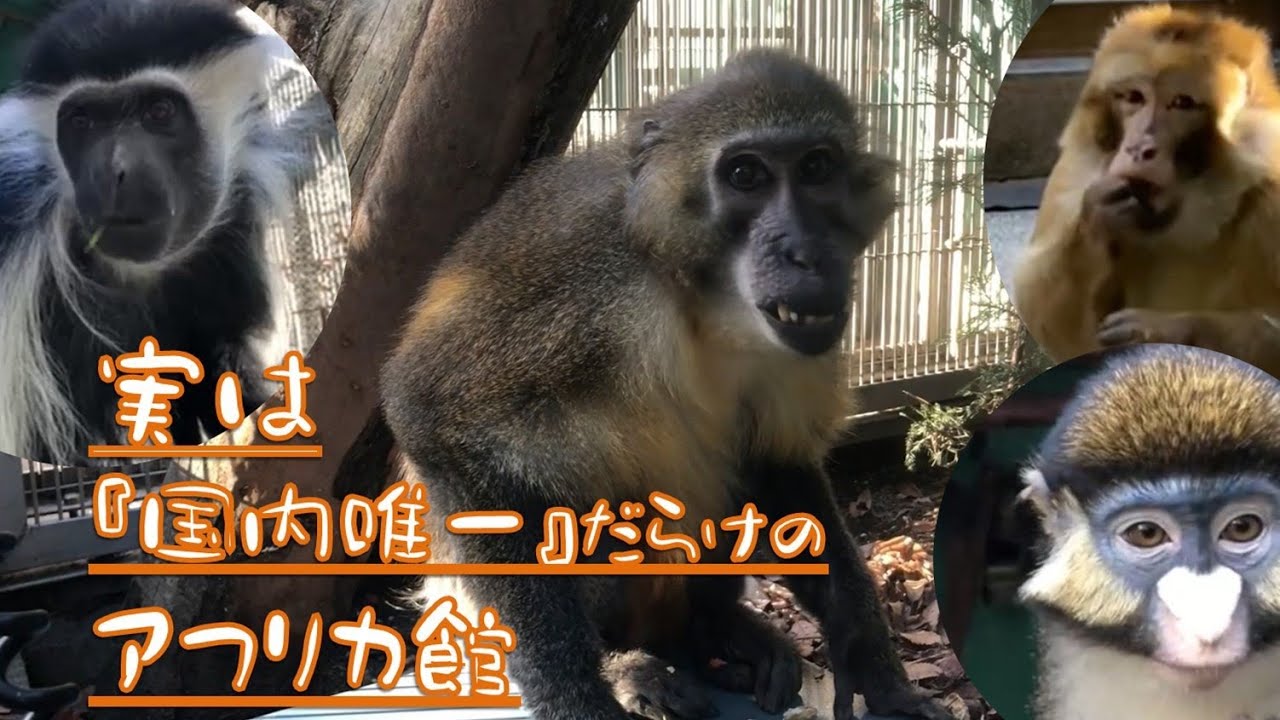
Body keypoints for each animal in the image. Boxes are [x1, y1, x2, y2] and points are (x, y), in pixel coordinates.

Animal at [380, 48, 953, 720]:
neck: (701, 291)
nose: (806, 253)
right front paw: (580, 698)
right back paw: (631, 663)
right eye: (746, 175)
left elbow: (774, 461)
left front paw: (874, 665)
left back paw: (715, 633)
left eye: (817, 167)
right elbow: (429, 416)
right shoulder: (586, 274)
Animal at [1009, 4, 1280, 377]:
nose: (1139, 148)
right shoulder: (1071, 178)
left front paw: (1161, 331)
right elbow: (1055, 325)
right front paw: (1098, 218)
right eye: (1134, 98)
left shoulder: (1273, 201)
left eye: (1181, 102)